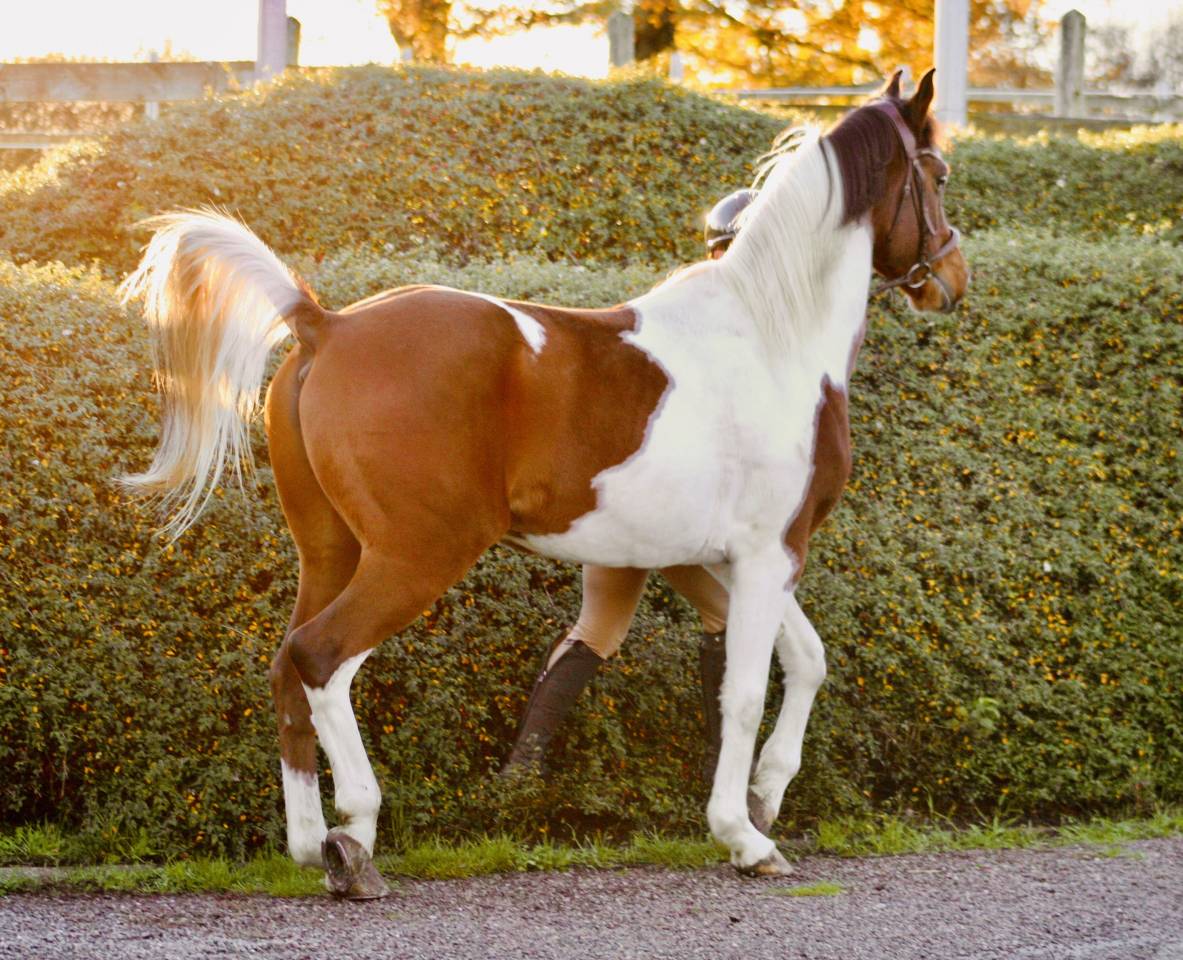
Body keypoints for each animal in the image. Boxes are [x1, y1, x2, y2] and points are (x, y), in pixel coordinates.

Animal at [119, 68, 968, 899]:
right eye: (936, 174)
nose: (952, 279)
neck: (770, 337)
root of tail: (327, 325)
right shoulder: (767, 553)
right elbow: (746, 690)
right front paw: (744, 836)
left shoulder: (717, 558)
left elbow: (805, 659)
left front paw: (763, 796)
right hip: (416, 557)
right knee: (321, 658)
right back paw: (355, 838)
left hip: (328, 552)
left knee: (285, 669)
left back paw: (311, 844)